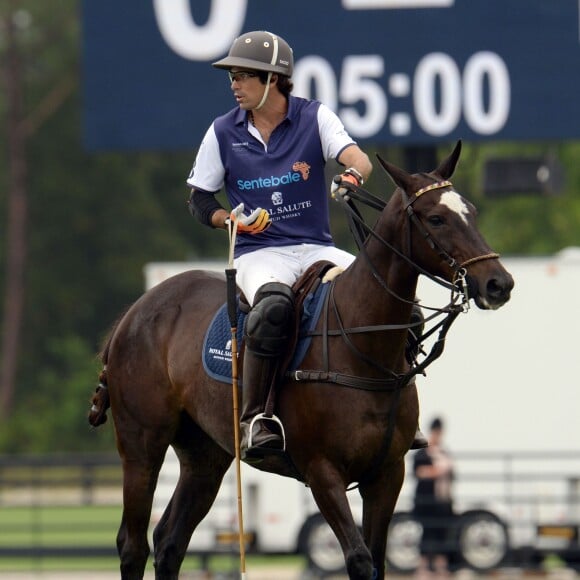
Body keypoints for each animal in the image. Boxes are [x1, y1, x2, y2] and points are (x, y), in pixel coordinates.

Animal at [87, 142, 512, 580]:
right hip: (142, 444)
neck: (363, 345)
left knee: (170, 541)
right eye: (436, 218)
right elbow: (359, 559)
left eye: (471, 210)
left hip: (204, 454)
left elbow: (377, 559)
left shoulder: (388, 473)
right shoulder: (322, 471)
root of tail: (132, 313)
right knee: (133, 543)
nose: (499, 283)